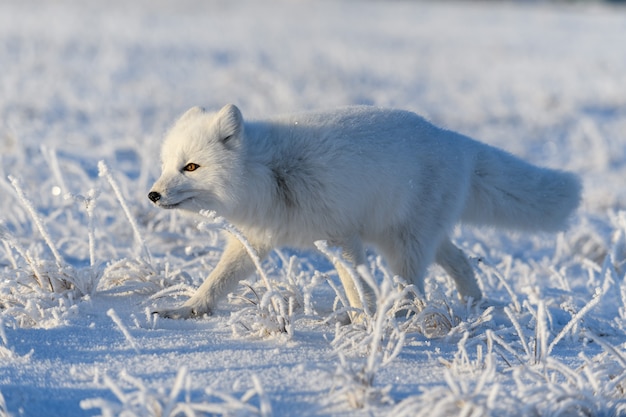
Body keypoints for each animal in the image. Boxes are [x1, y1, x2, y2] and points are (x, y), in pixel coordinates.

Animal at [147, 104, 580, 318]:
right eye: (166, 164)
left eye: (191, 167)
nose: (152, 195)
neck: (270, 173)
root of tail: (457, 141)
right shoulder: (257, 240)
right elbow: (217, 280)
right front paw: (188, 309)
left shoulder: (342, 237)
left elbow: (358, 286)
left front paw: (361, 323)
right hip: (411, 237)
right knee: (459, 261)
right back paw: (474, 305)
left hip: (404, 245)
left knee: (413, 285)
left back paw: (405, 316)